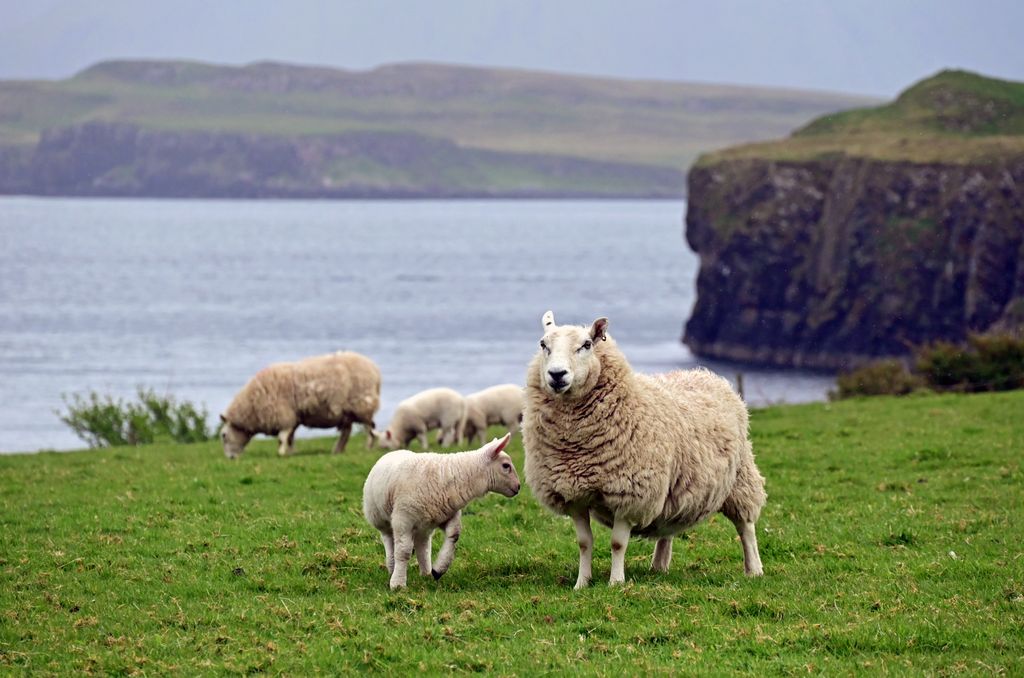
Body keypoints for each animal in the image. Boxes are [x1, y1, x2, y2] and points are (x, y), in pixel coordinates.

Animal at [219, 350, 380, 462]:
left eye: (224, 435)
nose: (230, 458)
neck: (252, 406)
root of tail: (374, 369)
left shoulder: (284, 417)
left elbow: (282, 437)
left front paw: (281, 453)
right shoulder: (292, 419)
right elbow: (290, 438)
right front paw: (290, 452)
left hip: (362, 406)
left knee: (369, 429)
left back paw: (368, 446)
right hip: (347, 413)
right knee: (347, 432)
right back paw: (337, 450)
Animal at [362, 436, 520, 589]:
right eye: (506, 466)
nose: (518, 487)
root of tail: (392, 452)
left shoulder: (449, 515)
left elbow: (454, 536)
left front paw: (439, 569)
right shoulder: (403, 519)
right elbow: (404, 551)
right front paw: (398, 584)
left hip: (424, 524)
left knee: (423, 546)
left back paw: (426, 573)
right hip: (381, 518)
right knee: (389, 541)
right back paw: (392, 567)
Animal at [524, 313, 765, 589]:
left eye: (586, 345)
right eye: (543, 344)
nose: (557, 374)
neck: (576, 447)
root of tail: (706, 375)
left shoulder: (629, 492)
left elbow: (618, 544)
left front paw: (616, 583)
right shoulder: (572, 495)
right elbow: (584, 543)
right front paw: (582, 583)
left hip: (740, 477)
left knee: (746, 526)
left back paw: (754, 569)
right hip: (676, 489)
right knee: (669, 525)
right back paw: (659, 566)